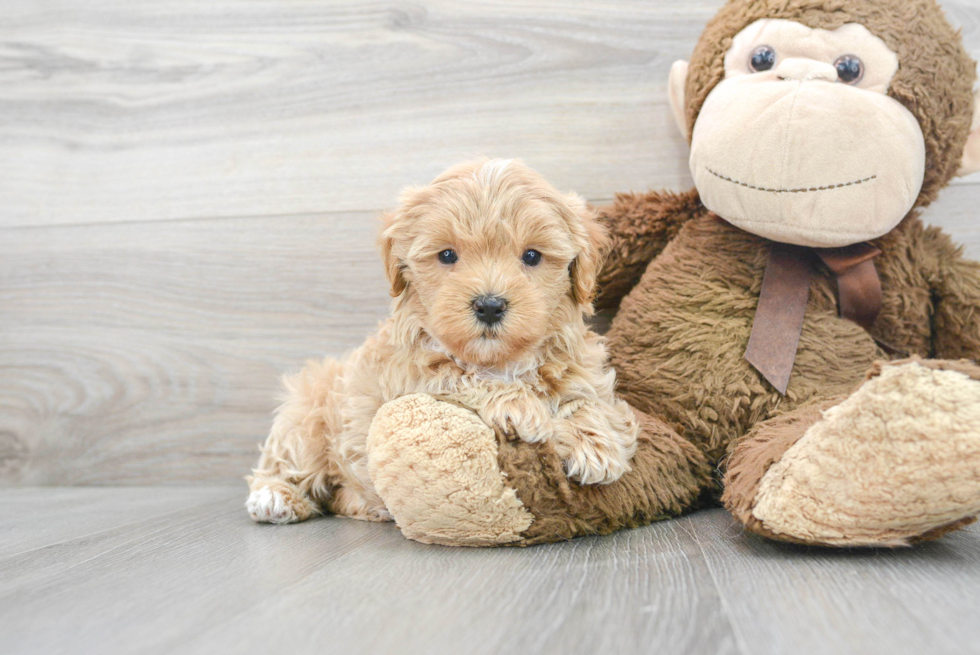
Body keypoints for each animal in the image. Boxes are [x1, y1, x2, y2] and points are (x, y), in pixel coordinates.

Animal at [249, 160, 640, 528]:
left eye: (532, 256)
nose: (489, 305)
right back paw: (275, 496)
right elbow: (461, 377)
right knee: (286, 461)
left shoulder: (581, 366)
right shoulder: (410, 380)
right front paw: (520, 406)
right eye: (448, 255)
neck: (501, 361)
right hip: (306, 413)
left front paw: (595, 443)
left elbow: (586, 398)